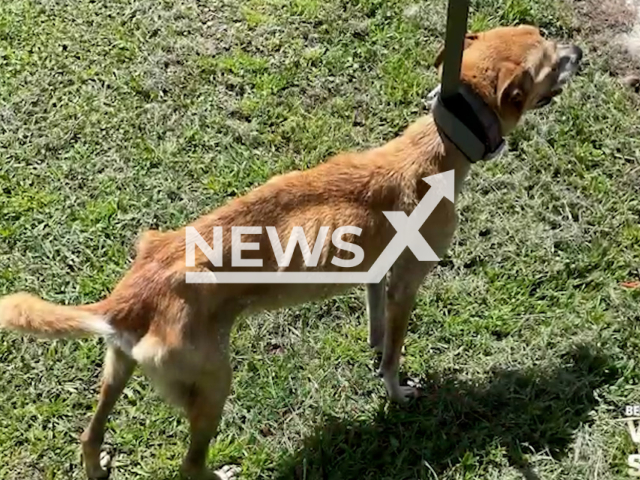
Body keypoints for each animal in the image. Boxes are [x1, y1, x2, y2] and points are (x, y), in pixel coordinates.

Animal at [0, 25, 580, 480]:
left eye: (538, 31)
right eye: (550, 60)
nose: (578, 49)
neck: (434, 148)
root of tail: (128, 298)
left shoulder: (376, 274)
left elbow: (377, 332)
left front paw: (373, 357)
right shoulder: (408, 282)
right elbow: (395, 354)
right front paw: (396, 393)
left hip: (116, 369)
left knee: (90, 433)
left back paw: (96, 465)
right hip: (214, 383)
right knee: (189, 465)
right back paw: (220, 474)